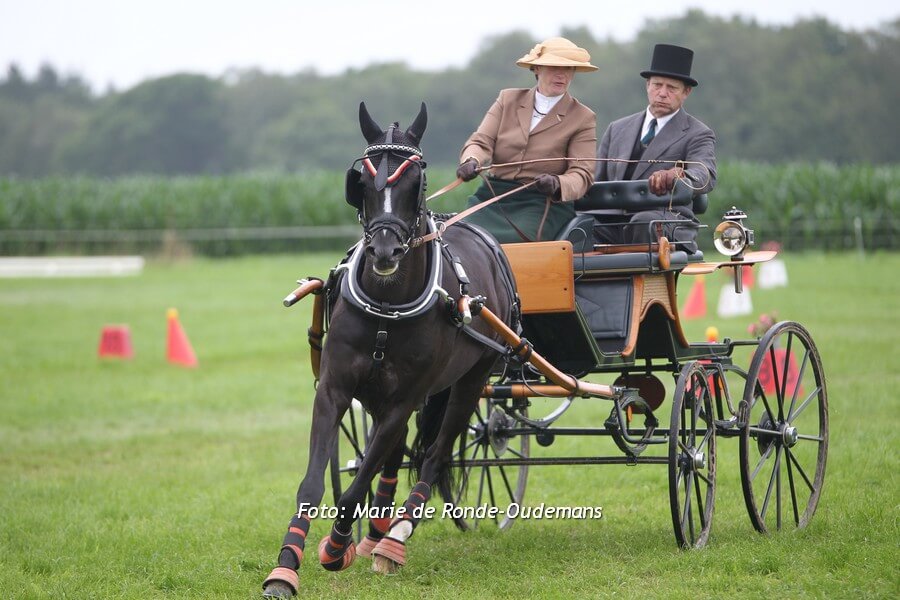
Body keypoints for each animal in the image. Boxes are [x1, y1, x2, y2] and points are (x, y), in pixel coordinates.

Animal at [262, 102, 518, 597]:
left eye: (415, 180)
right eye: (360, 181)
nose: (384, 251)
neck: (386, 305)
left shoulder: (404, 399)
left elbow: (357, 482)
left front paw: (336, 547)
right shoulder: (335, 390)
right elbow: (315, 483)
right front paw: (286, 565)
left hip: (471, 380)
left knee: (434, 455)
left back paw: (393, 539)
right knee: (397, 456)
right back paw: (376, 533)